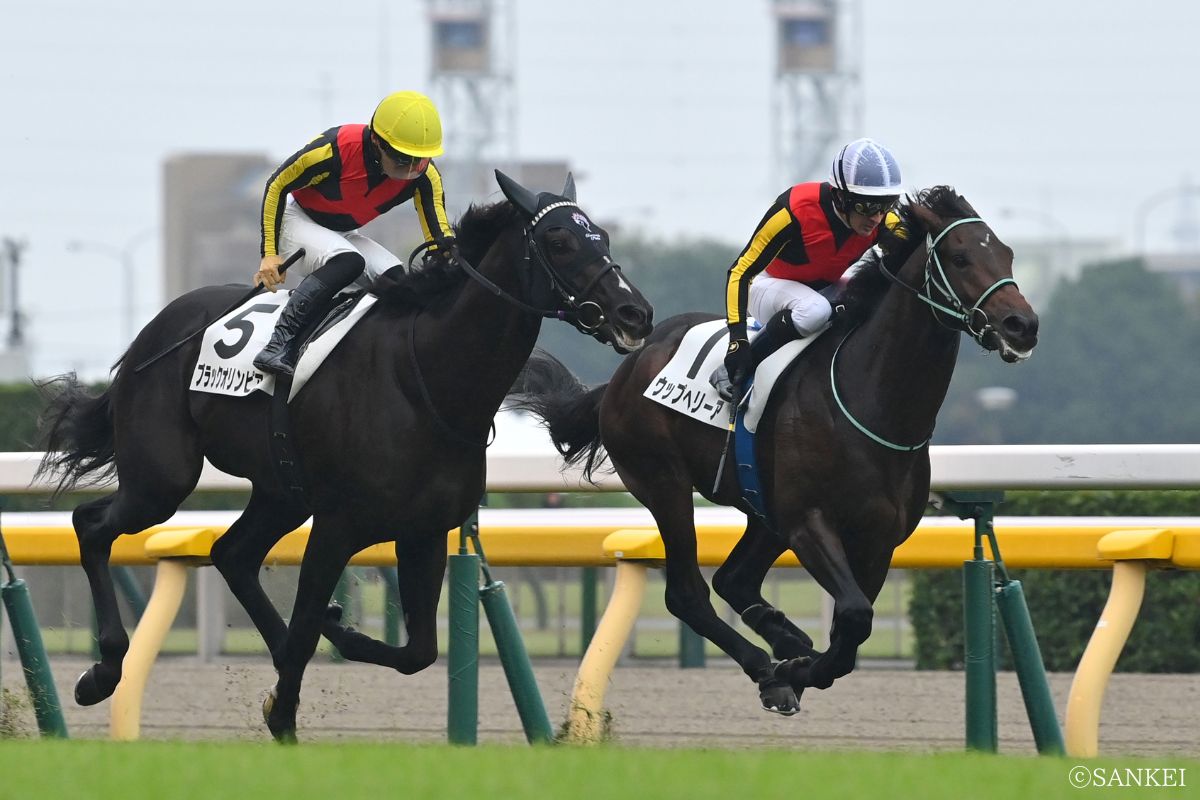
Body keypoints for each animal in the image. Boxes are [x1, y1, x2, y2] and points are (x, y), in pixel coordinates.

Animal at [36, 171, 654, 742]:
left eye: (600, 235)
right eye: (558, 240)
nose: (635, 313)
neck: (427, 378)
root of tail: (153, 332)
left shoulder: (424, 532)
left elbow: (416, 651)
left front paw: (323, 650)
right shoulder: (336, 526)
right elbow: (312, 624)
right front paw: (284, 713)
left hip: (280, 491)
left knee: (231, 553)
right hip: (163, 477)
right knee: (92, 524)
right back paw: (102, 670)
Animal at [513, 186, 1038, 716]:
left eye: (1008, 254)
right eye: (960, 257)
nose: (1022, 325)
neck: (871, 403)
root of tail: (626, 370)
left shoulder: (878, 540)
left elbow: (852, 631)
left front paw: (800, 663)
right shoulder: (809, 521)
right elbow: (853, 616)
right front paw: (793, 671)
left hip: (763, 510)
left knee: (734, 580)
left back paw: (785, 640)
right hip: (666, 483)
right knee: (688, 593)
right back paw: (766, 662)